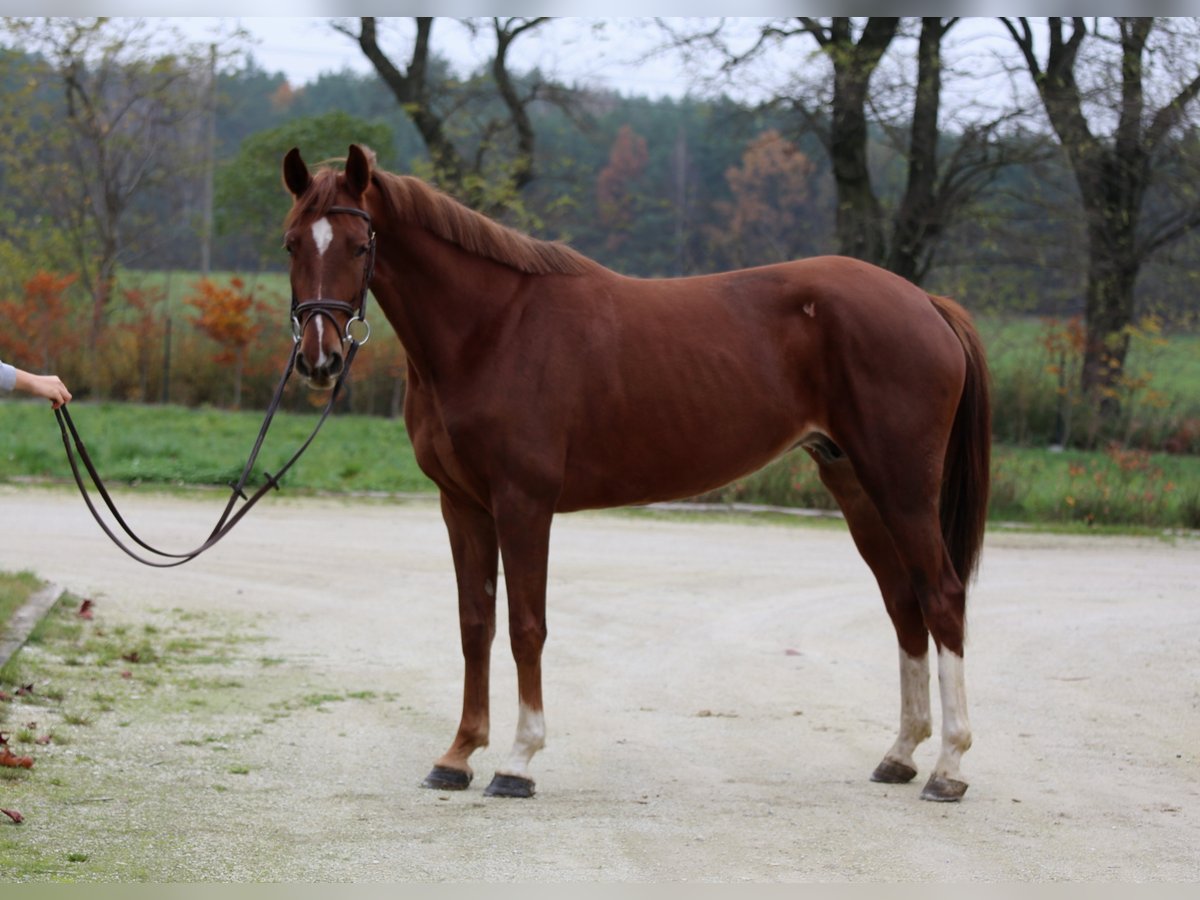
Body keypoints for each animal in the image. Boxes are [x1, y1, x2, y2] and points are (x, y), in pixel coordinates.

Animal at [280, 144, 993, 806]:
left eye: (358, 244)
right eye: (291, 242)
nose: (319, 360)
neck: (492, 329)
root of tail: (925, 302)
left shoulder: (523, 502)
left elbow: (526, 627)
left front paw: (518, 761)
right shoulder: (462, 504)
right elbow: (474, 624)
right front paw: (457, 756)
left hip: (903, 487)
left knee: (942, 597)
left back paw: (950, 767)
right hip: (858, 488)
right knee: (903, 604)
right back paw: (900, 755)